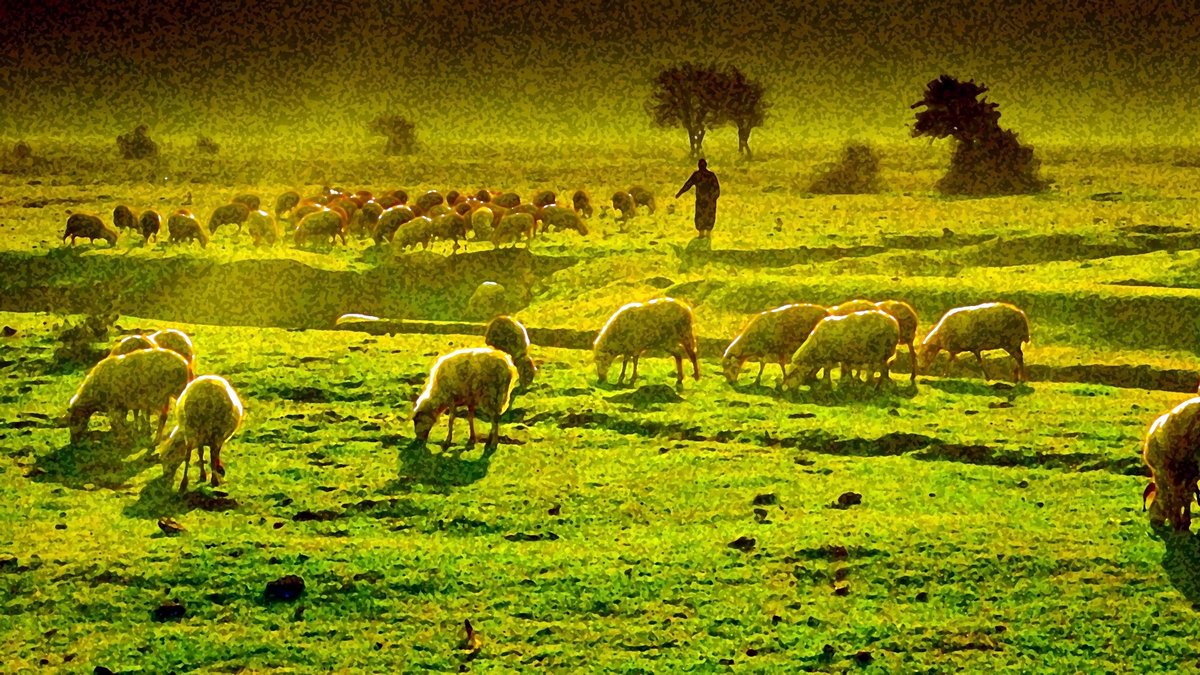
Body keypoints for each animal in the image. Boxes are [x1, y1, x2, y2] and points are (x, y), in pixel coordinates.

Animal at [1141, 397, 1200, 531]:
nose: (1154, 522)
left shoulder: (1164, 472)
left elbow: (1175, 496)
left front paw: (1178, 522)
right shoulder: (1190, 473)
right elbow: (1186, 496)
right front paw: (1184, 522)